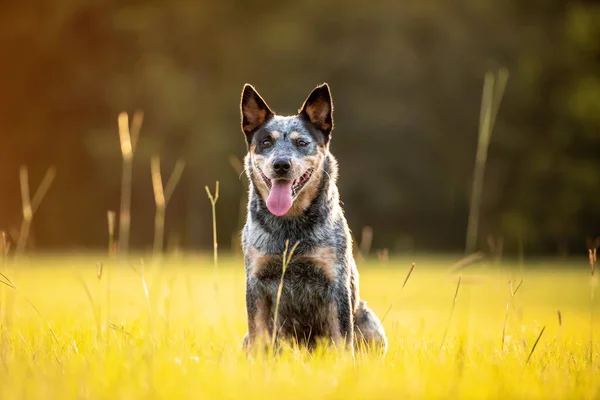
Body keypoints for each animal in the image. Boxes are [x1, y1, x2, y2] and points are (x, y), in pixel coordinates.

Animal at [239, 83, 390, 354]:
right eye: (266, 142)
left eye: (301, 142)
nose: (281, 164)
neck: (290, 230)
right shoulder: (256, 284)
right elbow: (258, 338)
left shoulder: (335, 284)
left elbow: (343, 340)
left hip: (368, 320)